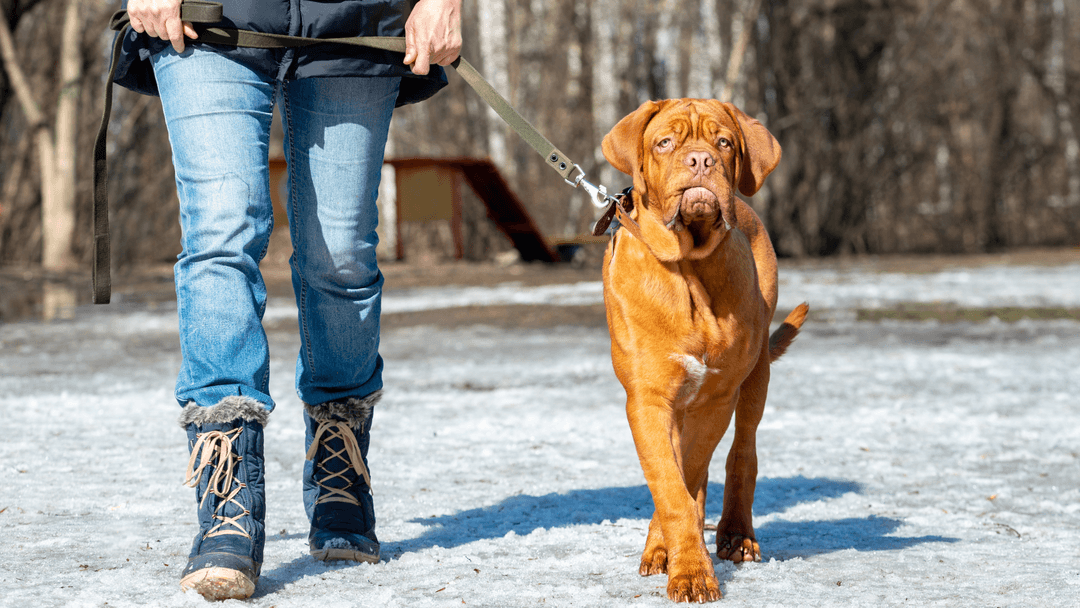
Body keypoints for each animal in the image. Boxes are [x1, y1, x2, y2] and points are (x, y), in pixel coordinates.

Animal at [600, 97, 812, 600]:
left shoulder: (717, 396)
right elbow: (670, 483)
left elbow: (688, 476)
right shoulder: (650, 400)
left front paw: (684, 561)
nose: (700, 160)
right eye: (664, 142)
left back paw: (736, 535)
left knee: (742, 454)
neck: (689, 269)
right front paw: (680, 562)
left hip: (754, 378)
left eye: (724, 142)